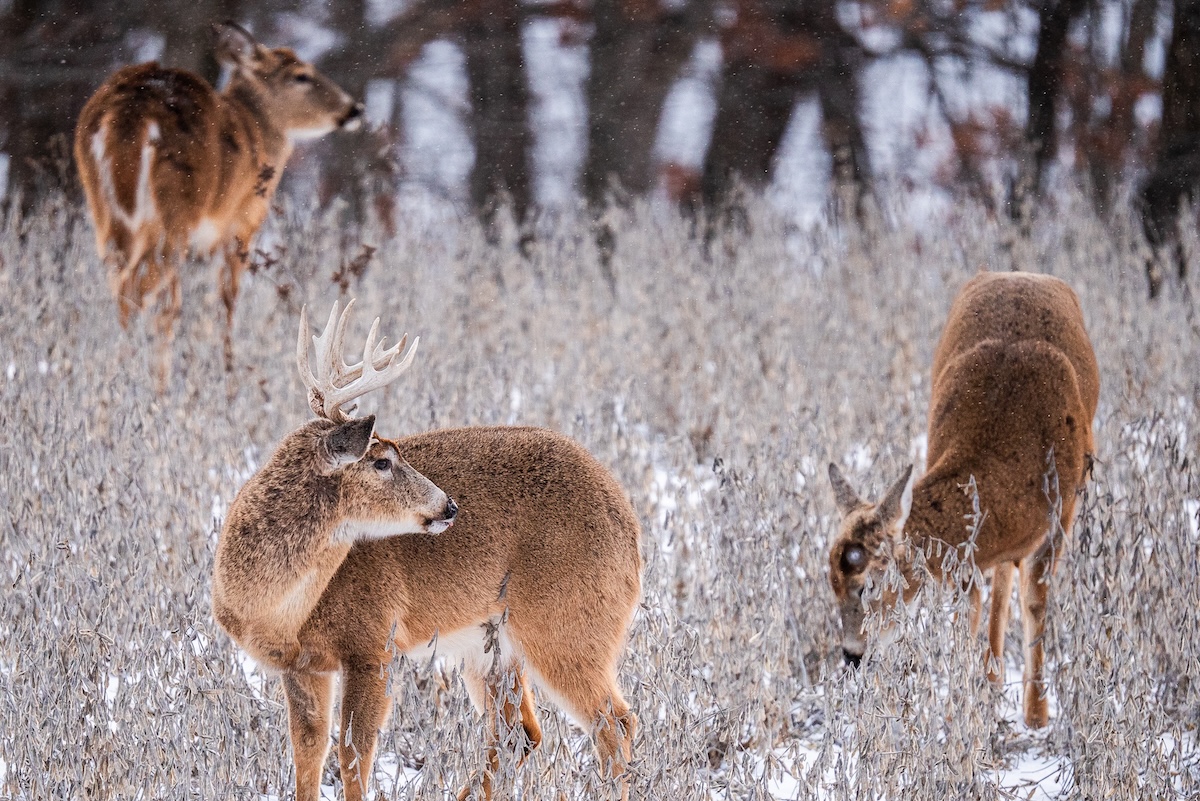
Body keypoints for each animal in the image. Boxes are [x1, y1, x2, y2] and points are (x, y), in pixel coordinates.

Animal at [74, 21, 363, 381]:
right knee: (147, 299)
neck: (256, 134)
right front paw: (227, 377)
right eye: (301, 75)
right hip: (173, 214)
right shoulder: (242, 222)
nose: (355, 109)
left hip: (105, 214)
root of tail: (126, 115)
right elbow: (225, 303)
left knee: (124, 292)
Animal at [212, 300, 642, 801]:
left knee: (614, 723)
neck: (277, 611)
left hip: (570, 623)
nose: (449, 505)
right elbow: (308, 757)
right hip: (490, 646)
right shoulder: (301, 667)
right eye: (382, 461)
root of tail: (631, 525)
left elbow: (354, 756)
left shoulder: (373, 644)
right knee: (520, 734)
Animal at [825, 271, 1100, 729]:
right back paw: (991, 677)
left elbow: (1035, 605)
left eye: (869, 585)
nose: (852, 655)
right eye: (831, 584)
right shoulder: (963, 558)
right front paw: (964, 714)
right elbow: (966, 619)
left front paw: (1036, 716)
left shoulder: (1060, 518)